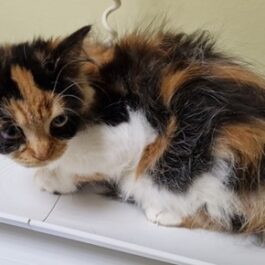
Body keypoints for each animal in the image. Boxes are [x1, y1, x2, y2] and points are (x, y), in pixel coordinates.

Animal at [0, 24, 264, 237]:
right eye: (11, 131)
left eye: (59, 120)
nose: (41, 153)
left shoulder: (129, 129)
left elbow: (87, 165)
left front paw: (53, 178)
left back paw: (164, 212)